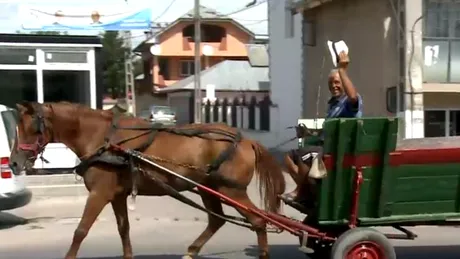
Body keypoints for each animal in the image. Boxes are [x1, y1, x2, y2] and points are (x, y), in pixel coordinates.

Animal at [9, 102, 284, 259]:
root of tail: (246, 140)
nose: (13, 163)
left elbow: (80, 231)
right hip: (209, 189)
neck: (103, 139)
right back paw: (191, 251)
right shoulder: (117, 195)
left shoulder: (99, 194)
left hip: (231, 190)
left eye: (31, 128)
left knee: (258, 221)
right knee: (217, 220)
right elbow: (124, 230)